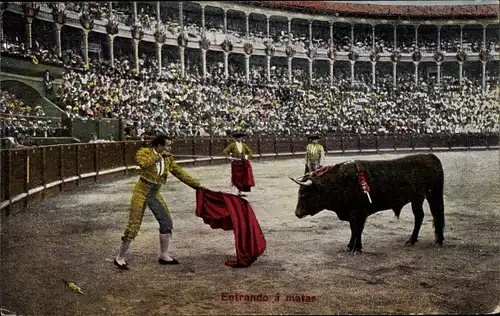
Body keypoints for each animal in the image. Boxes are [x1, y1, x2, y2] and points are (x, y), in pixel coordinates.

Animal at [290, 153, 446, 254]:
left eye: (304, 194)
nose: (297, 213)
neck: (340, 182)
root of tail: (430, 156)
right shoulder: (351, 214)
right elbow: (353, 229)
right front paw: (349, 246)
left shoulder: (360, 213)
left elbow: (358, 229)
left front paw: (357, 248)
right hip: (418, 198)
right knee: (421, 215)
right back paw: (417, 241)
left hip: (430, 195)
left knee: (434, 214)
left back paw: (432, 241)